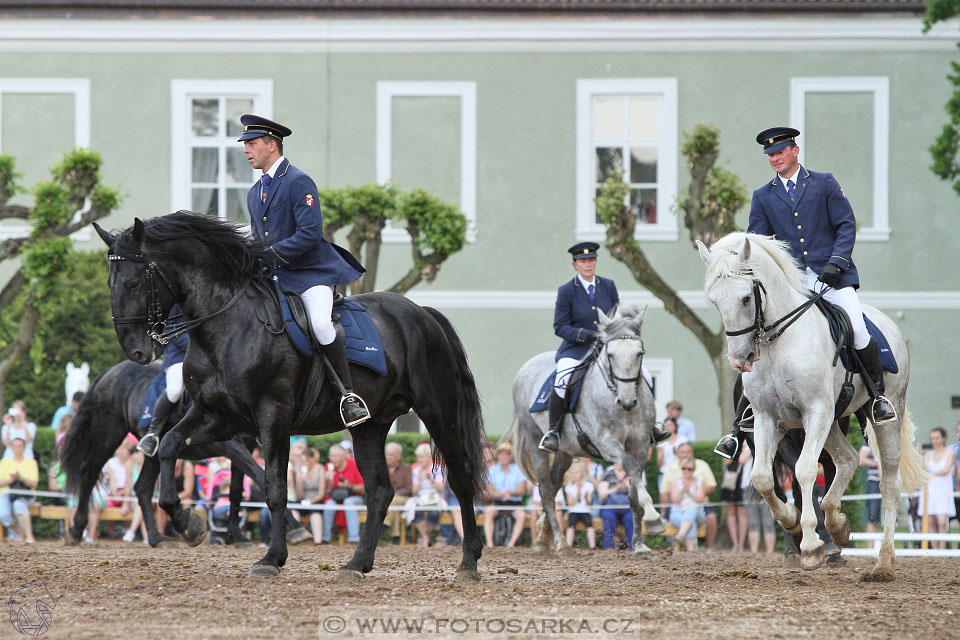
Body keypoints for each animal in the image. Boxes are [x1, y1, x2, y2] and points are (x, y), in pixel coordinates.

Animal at [58, 358, 312, 548]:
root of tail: (111, 371)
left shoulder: (246, 446)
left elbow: (236, 489)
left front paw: (237, 536)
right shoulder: (230, 446)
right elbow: (258, 475)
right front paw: (295, 528)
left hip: (154, 453)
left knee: (143, 487)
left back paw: (157, 538)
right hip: (109, 434)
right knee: (89, 473)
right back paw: (77, 528)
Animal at [92, 214, 488, 580]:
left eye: (132, 282)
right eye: (110, 282)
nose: (136, 350)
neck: (226, 327)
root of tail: (422, 313)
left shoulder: (272, 418)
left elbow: (274, 488)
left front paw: (272, 558)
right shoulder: (217, 418)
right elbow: (171, 445)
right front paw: (188, 523)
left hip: (437, 410)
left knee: (460, 477)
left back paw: (469, 562)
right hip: (369, 425)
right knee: (379, 491)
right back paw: (357, 563)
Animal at [502, 304, 668, 556]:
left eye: (639, 353)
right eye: (610, 355)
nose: (627, 401)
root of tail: (527, 367)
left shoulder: (640, 446)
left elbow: (632, 493)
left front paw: (640, 544)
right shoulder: (608, 445)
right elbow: (629, 467)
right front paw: (654, 518)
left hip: (565, 450)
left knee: (554, 484)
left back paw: (542, 538)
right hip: (534, 441)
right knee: (546, 491)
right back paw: (560, 544)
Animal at [700, 234, 928, 580]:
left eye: (745, 298)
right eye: (714, 300)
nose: (740, 360)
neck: (778, 343)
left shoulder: (815, 412)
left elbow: (805, 471)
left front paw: (810, 545)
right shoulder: (768, 420)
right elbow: (763, 478)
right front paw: (793, 524)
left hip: (883, 414)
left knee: (888, 481)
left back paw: (883, 562)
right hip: (831, 422)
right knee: (847, 460)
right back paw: (838, 525)